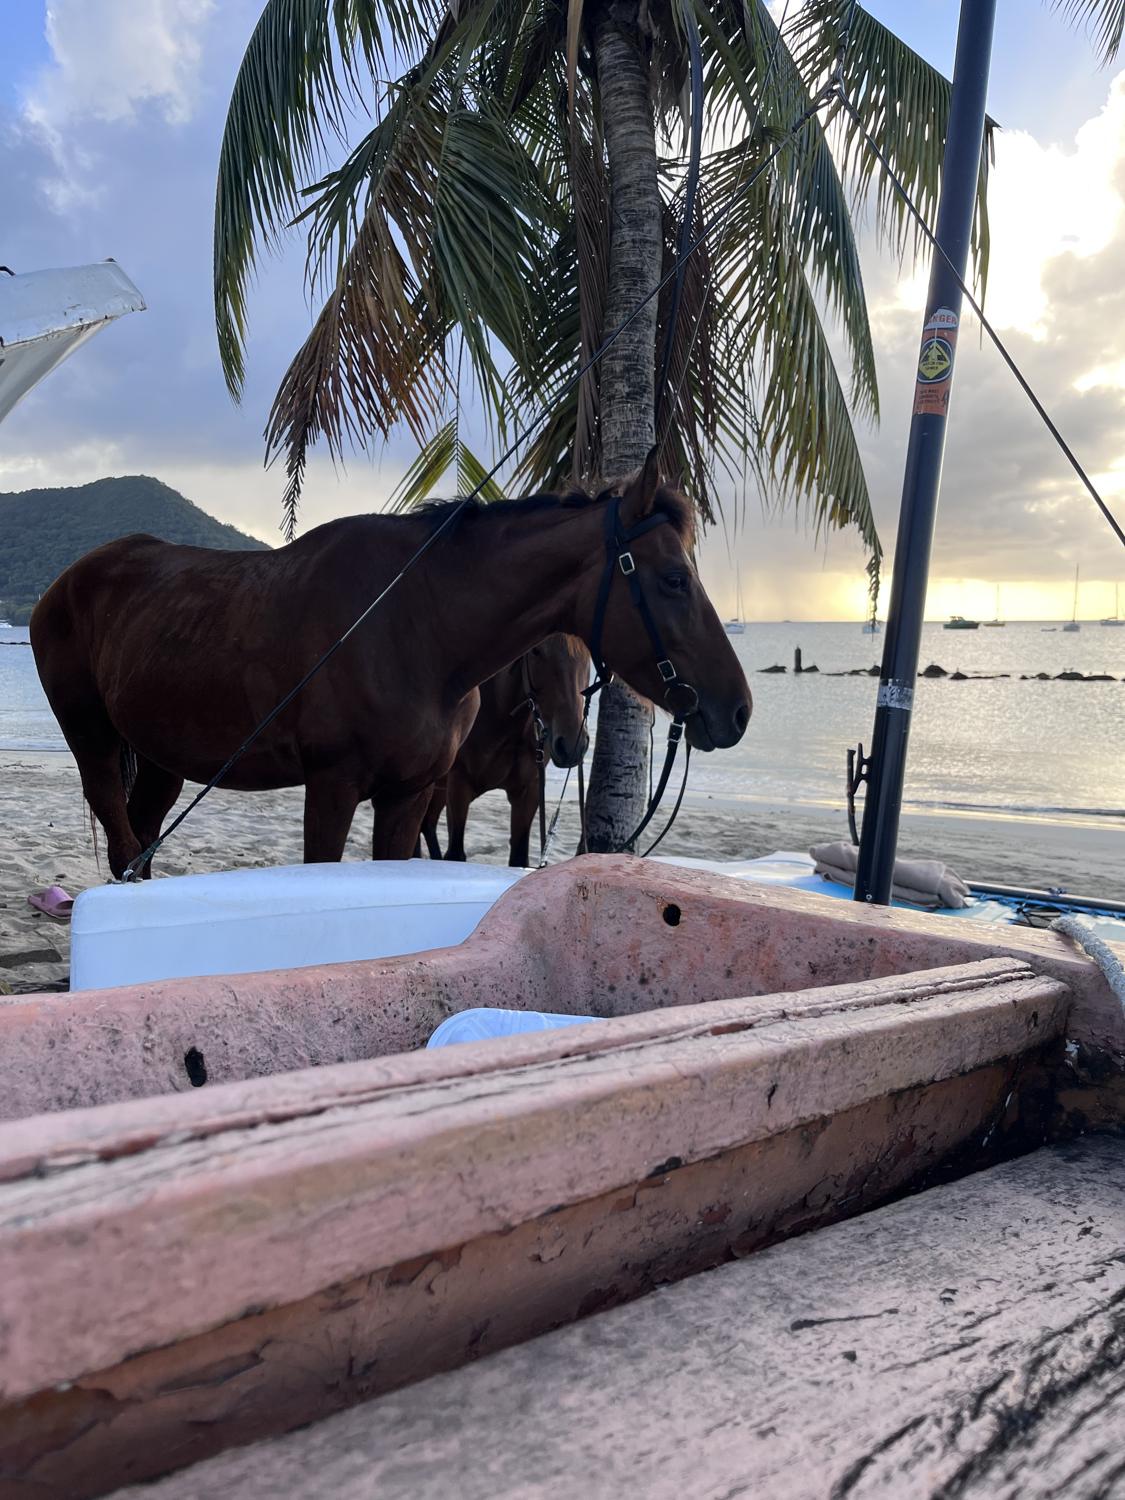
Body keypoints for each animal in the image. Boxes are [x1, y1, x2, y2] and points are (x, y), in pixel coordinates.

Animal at [420, 635, 591, 866]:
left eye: (589, 652)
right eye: (536, 651)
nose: (572, 745)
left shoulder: (528, 792)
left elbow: (519, 857)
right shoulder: (459, 785)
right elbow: (455, 854)